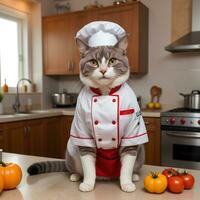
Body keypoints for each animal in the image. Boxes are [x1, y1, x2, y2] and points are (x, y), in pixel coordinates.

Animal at [27, 34, 148, 192]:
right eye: (93, 62)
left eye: (112, 61)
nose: (103, 70)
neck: (105, 94)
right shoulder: (83, 133)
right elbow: (88, 165)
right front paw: (88, 184)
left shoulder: (132, 134)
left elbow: (127, 164)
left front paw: (127, 183)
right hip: (71, 150)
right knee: (73, 167)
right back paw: (75, 176)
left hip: (141, 151)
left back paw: (134, 175)